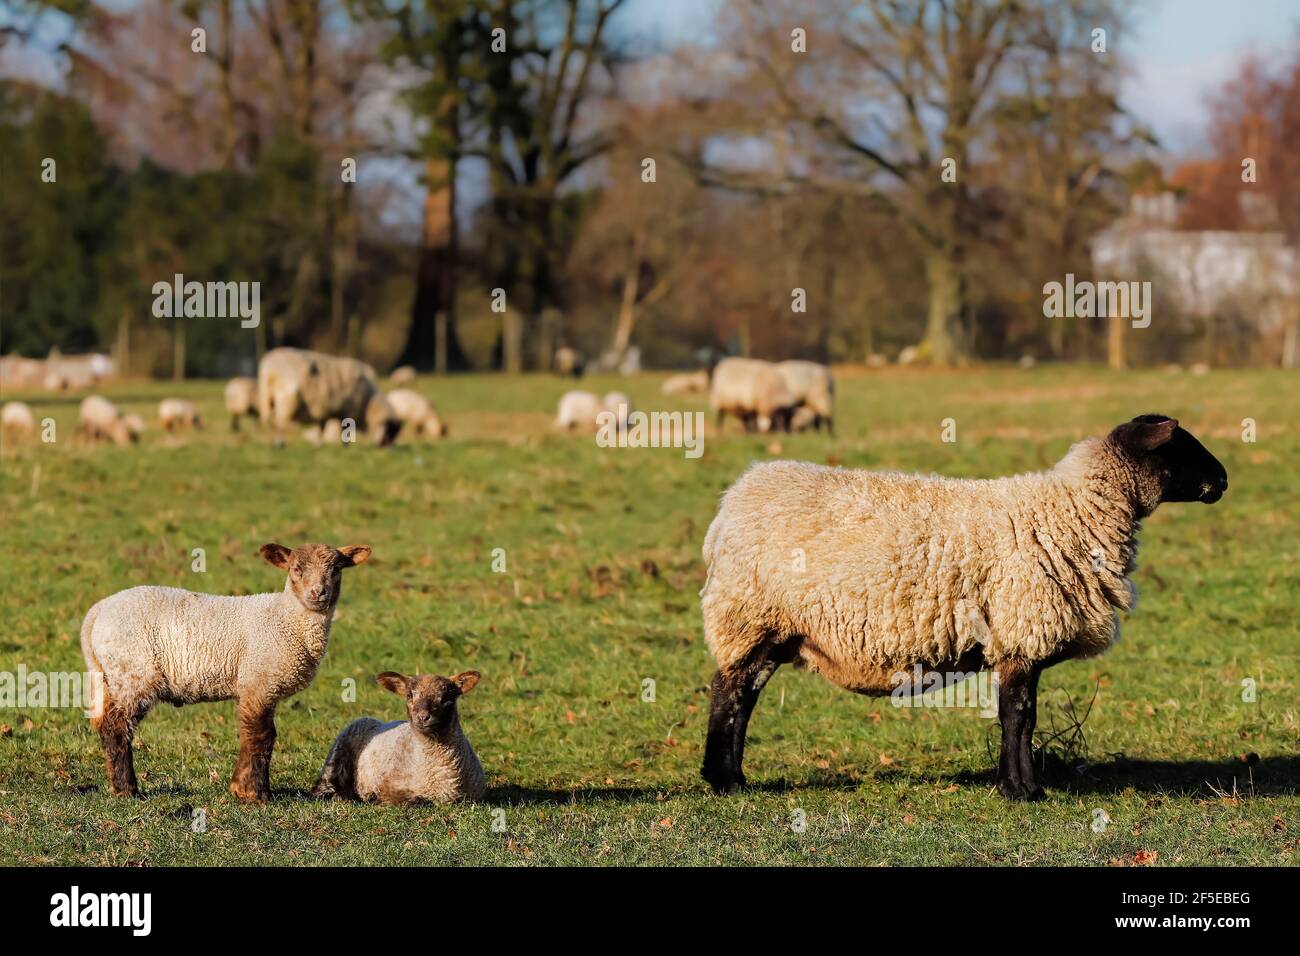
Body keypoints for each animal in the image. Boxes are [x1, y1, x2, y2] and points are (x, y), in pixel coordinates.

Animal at [80, 542, 372, 801]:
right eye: (296, 569)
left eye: (336, 569)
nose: (318, 592)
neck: (287, 619)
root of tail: (96, 613)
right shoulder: (258, 681)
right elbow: (261, 736)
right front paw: (254, 794)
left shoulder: (259, 685)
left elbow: (257, 735)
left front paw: (242, 788)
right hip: (134, 673)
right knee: (116, 728)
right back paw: (127, 790)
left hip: (110, 677)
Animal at [257, 347, 399, 447]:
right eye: (389, 433)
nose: (389, 450)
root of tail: (269, 369)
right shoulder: (349, 410)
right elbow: (345, 431)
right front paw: (345, 446)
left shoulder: (324, 410)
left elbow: (322, 428)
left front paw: (318, 444)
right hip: (287, 399)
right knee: (280, 422)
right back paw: (279, 443)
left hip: (266, 396)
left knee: (270, 420)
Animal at [312, 669, 485, 804]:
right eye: (409, 695)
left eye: (447, 698)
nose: (423, 717)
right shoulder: (388, 786)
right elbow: (414, 800)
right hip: (340, 749)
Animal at [698, 414, 1228, 801]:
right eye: (1180, 446)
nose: (1223, 479)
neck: (1072, 513)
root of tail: (735, 498)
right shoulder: (1020, 632)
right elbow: (1019, 716)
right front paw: (1021, 790)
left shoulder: (1018, 639)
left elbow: (1022, 716)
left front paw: (1018, 784)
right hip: (749, 616)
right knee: (728, 694)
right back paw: (723, 782)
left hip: (772, 628)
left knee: (744, 697)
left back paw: (736, 777)